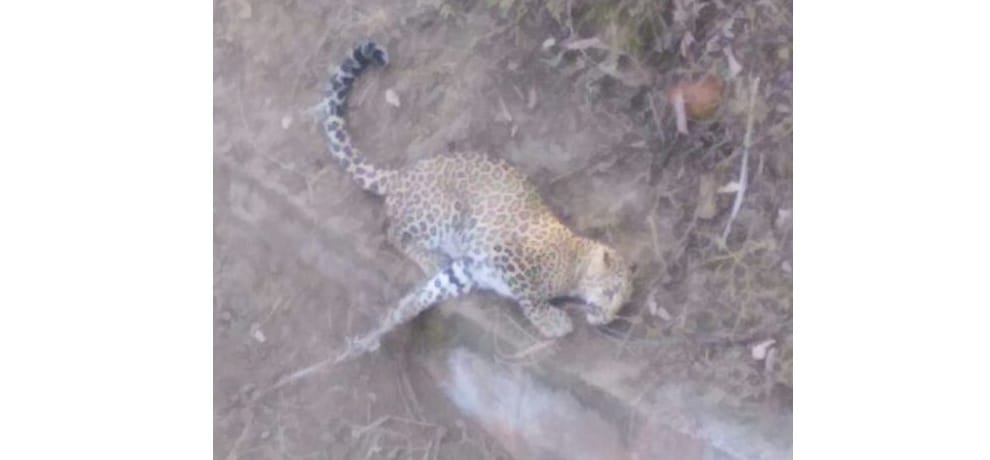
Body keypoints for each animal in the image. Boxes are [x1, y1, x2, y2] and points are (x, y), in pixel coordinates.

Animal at [316, 42, 633, 356]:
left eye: (621, 306)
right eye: (610, 293)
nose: (607, 319)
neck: (575, 266)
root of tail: (404, 174)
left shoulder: (468, 270)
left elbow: (430, 291)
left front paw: (391, 320)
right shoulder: (505, 255)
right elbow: (530, 297)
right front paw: (553, 322)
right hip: (442, 213)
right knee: (394, 233)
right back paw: (431, 258)